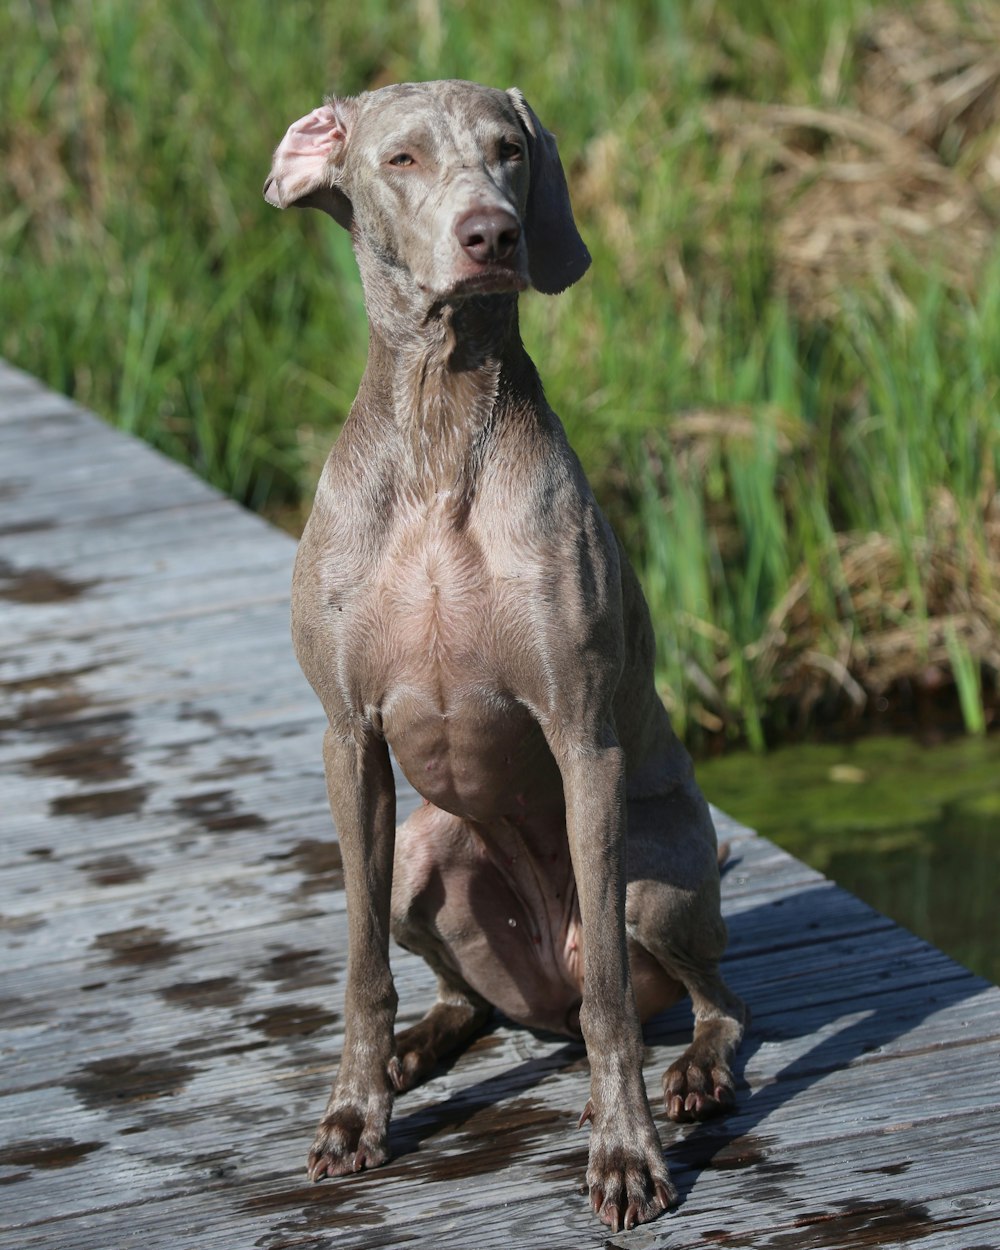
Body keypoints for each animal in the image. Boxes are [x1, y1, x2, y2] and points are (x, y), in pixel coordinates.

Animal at [261, 83, 745, 1235]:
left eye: (508, 151)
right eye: (399, 157)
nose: (493, 235)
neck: (441, 421)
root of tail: (542, 1003)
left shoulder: (583, 737)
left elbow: (614, 996)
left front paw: (625, 1156)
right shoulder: (347, 738)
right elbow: (359, 968)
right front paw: (355, 1112)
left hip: (659, 875)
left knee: (709, 1000)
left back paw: (694, 1074)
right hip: (421, 856)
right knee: (464, 996)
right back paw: (417, 1051)